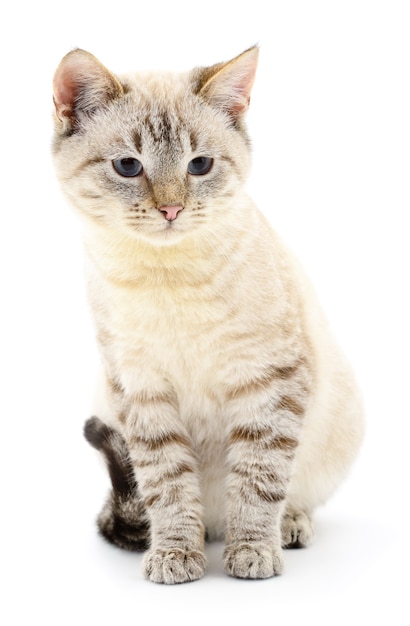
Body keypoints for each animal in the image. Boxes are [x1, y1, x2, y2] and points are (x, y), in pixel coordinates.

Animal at [52, 46, 364, 584]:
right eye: (128, 166)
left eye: (199, 165)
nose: (172, 210)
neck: (166, 277)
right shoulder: (141, 389)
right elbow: (169, 487)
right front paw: (176, 553)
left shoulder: (268, 381)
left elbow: (258, 479)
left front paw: (253, 551)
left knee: (286, 494)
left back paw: (287, 527)